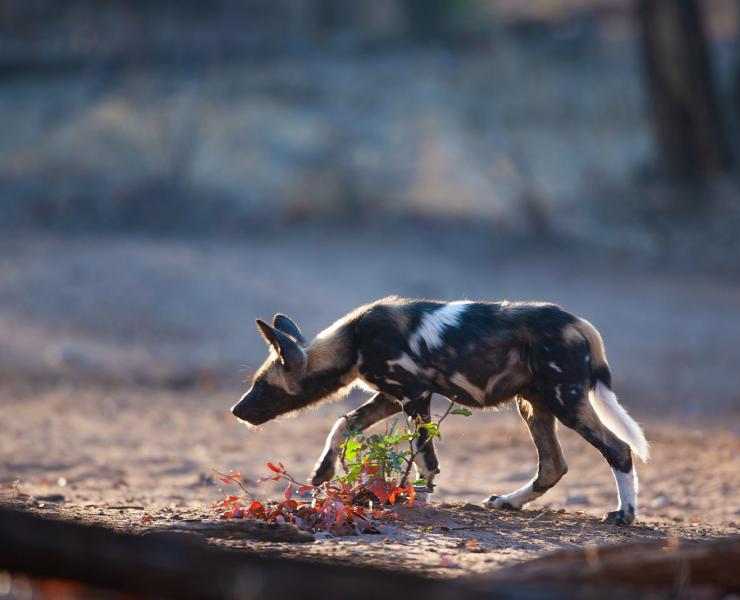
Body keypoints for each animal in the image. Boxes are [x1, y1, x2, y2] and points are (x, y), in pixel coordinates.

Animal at [231, 298, 648, 524]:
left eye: (262, 386)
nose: (236, 410)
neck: (353, 341)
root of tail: (578, 323)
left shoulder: (414, 396)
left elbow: (424, 457)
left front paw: (419, 497)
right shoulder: (391, 397)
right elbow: (343, 425)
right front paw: (322, 472)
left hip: (566, 401)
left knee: (618, 449)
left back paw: (624, 516)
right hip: (533, 405)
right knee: (552, 466)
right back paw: (508, 502)